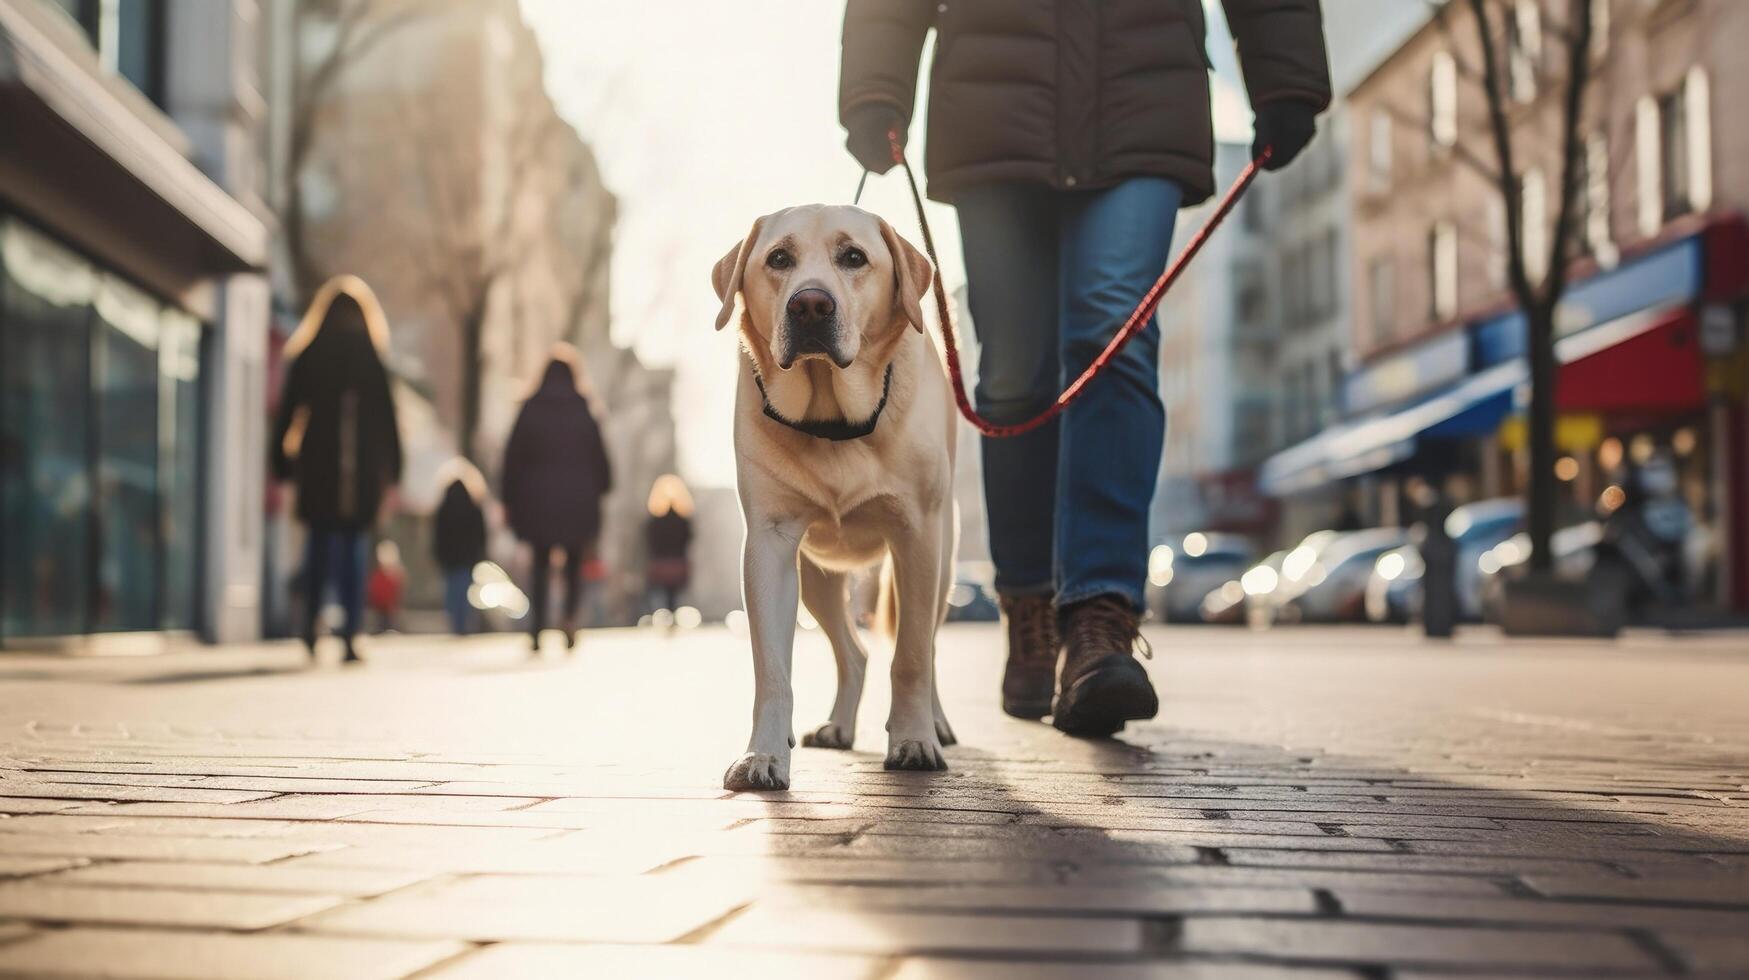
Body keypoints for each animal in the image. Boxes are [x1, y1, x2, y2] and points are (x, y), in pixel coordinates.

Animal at [710, 203, 958, 791]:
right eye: (779, 259)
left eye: (854, 258)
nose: (811, 303)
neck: (831, 419)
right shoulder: (769, 544)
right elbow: (772, 668)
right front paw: (763, 754)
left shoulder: (917, 535)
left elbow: (912, 656)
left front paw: (913, 740)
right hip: (817, 576)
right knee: (855, 653)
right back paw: (839, 726)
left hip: (943, 558)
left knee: (928, 644)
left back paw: (936, 722)